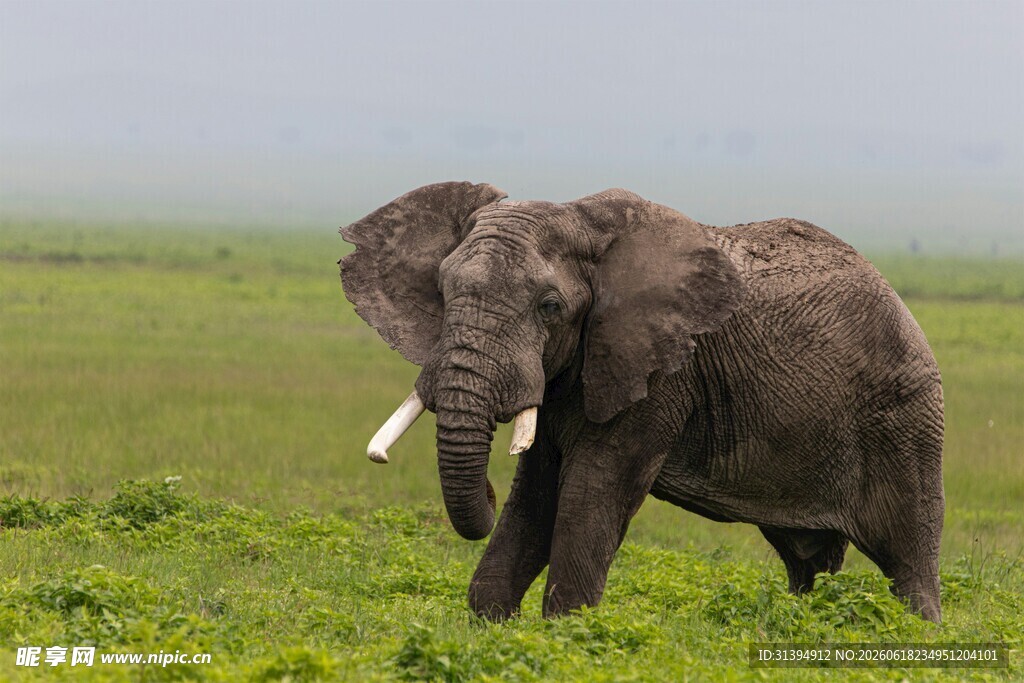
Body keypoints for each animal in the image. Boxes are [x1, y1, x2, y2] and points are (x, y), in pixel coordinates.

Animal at [339, 181, 944, 623]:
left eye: (549, 307)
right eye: (442, 292)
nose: (485, 487)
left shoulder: (658, 374)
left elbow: (591, 491)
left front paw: (569, 632)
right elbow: (535, 495)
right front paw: (492, 625)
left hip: (906, 418)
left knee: (910, 557)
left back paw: (915, 633)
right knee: (805, 563)